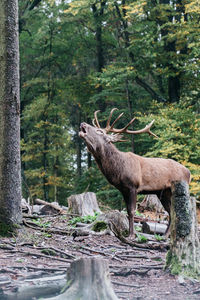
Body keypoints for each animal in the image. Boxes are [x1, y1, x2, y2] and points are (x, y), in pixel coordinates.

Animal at [79, 109, 191, 238]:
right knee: (170, 211)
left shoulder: (133, 186)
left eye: (100, 131)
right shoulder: (123, 189)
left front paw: (132, 235)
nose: (83, 123)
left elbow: (132, 211)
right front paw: (129, 233)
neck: (118, 170)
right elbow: (128, 211)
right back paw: (165, 235)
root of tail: (189, 173)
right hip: (163, 192)